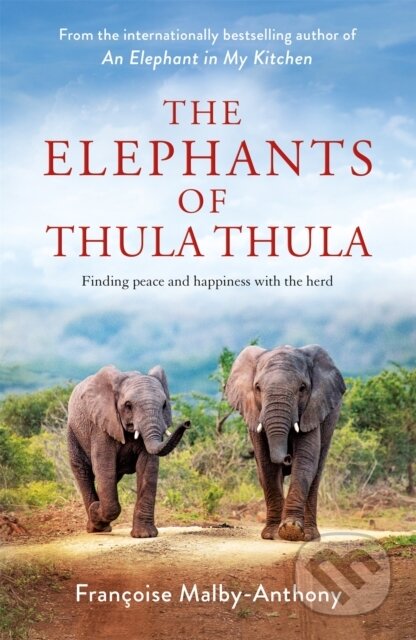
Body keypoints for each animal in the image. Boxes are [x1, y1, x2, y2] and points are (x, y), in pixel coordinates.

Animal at [67, 365, 190, 538]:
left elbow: (148, 467)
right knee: (84, 472)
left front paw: (145, 535)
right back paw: (95, 527)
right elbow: (104, 467)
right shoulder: (101, 426)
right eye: (128, 405)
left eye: (164, 405)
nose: (187, 423)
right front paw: (95, 509)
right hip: (73, 433)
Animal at [226, 344, 345, 542]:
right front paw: (272, 534)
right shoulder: (254, 413)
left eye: (302, 388)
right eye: (257, 388)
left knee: (316, 473)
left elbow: (304, 461)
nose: (288, 457)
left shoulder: (312, 410)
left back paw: (310, 536)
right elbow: (266, 464)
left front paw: (291, 531)